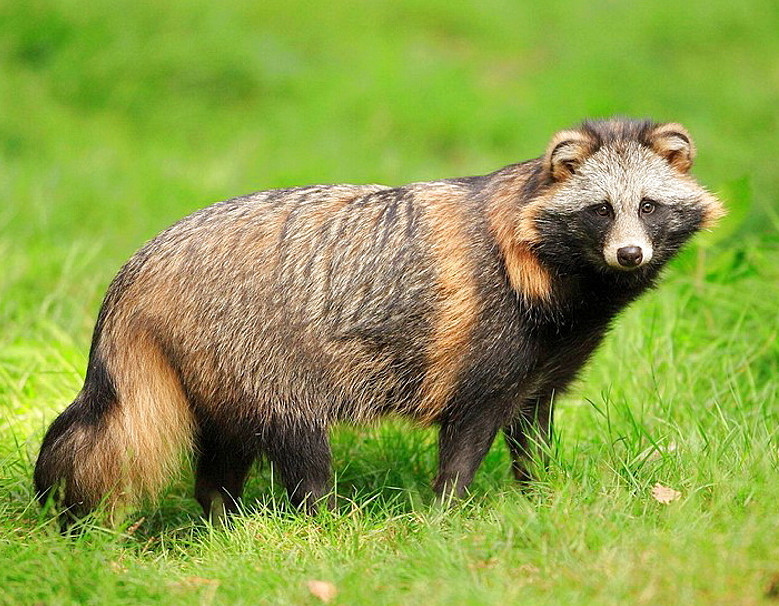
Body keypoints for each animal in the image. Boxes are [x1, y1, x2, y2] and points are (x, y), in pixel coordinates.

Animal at [32, 117, 724, 524]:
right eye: (601, 209)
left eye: (648, 205)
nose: (629, 254)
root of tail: (139, 271)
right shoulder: (485, 341)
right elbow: (466, 437)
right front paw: (447, 516)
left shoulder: (548, 357)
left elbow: (533, 428)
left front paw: (540, 495)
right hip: (259, 352)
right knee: (298, 447)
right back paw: (324, 522)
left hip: (218, 369)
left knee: (224, 456)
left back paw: (222, 519)